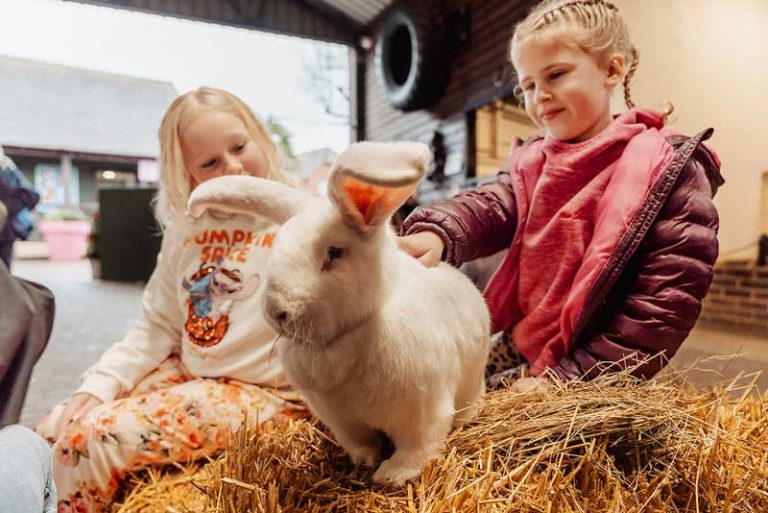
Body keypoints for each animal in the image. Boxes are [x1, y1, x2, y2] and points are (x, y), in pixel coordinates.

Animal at [188, 141, 490, 486]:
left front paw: (392, 475)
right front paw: (365, 460)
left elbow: (417, 447)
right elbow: (360, 442)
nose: (277, 312)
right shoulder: (342, 418)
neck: (350, 334)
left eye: (334, 253)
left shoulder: (421, 412)